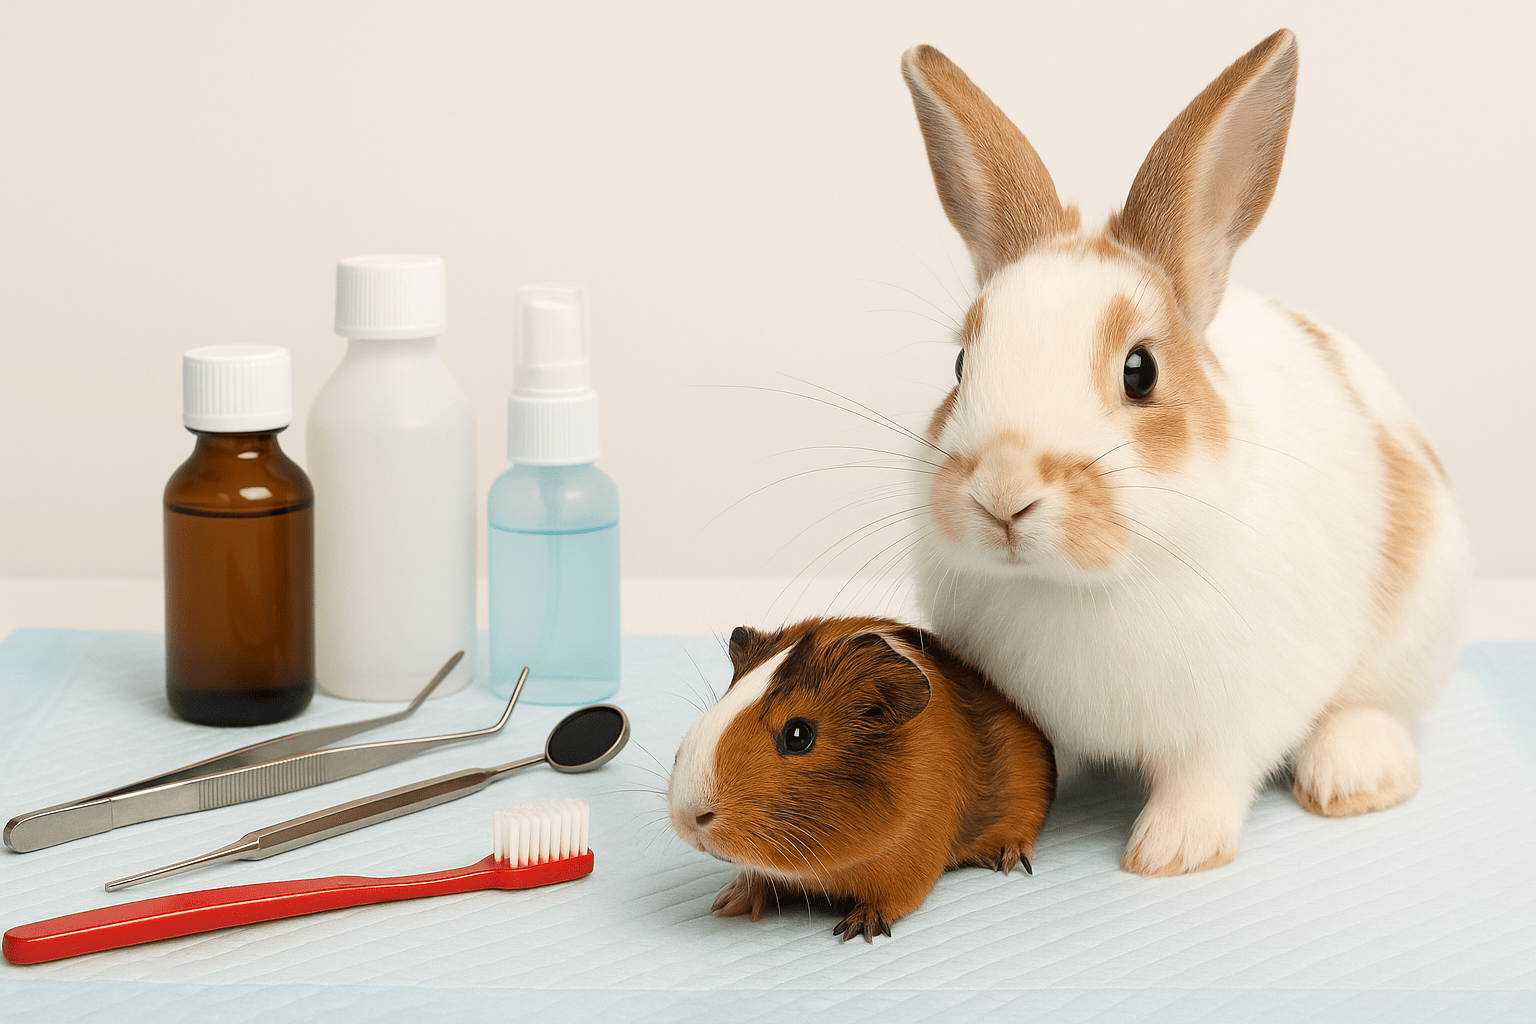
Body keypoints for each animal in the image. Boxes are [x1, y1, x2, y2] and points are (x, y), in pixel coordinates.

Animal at [668, 616, 1055, 942]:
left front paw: (856, 929)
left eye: (798, 735)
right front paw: (725, 904)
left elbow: (894, 898)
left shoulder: (912, 853)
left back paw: (1006, 859)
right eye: (721, 702)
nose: (688, 817)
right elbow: (757, 879)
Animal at [897, 29, 1470, 876]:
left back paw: (1353, 774)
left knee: (1374, 707)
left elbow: (1207, 781)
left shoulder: (1236, 718)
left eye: (1141, 371)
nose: (1002, 492)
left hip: (1416, 624)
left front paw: (1170, 851)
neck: (1081, 587)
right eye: (963, 364)